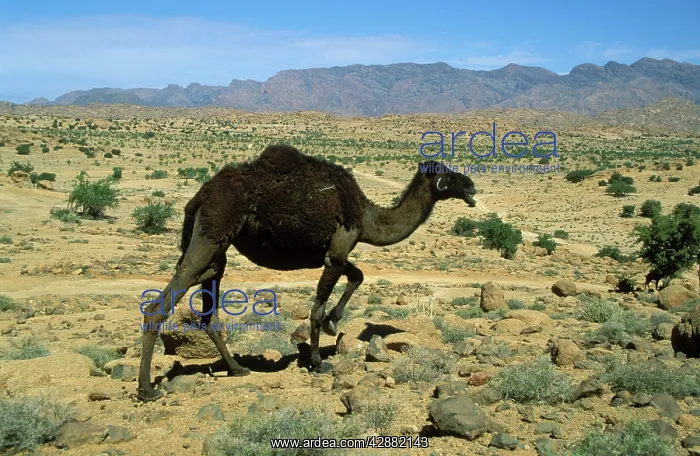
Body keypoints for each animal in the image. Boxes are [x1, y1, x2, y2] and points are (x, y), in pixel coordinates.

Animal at [137, 144, 478, 402]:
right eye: (448, 174)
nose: (472, 186)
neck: (367, 216)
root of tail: (199, 197)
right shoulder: (338, 249)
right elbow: (318, 308)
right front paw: (317, 359)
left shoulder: (334, 253)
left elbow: (358, 276)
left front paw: (333, 322)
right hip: (212, 231)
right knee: (161, 303)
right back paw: (147, 390)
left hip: (217, 249)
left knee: (209, 308)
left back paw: (237, 368)